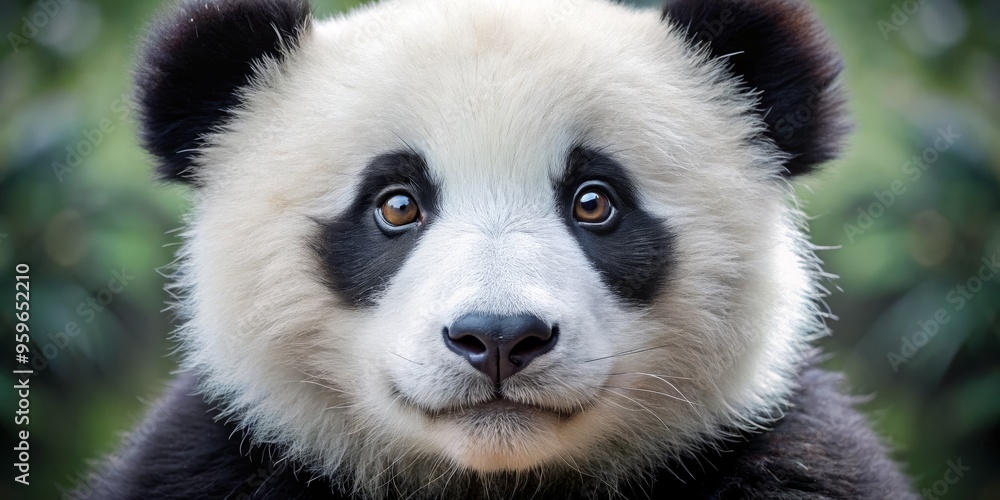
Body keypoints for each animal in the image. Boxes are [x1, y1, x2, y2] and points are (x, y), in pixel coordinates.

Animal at [84, 0, 916, 498]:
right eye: (396, 204)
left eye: (594, 201)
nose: (500, 338)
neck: (493, 478)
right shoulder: (221, 459)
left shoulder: (780, 456)